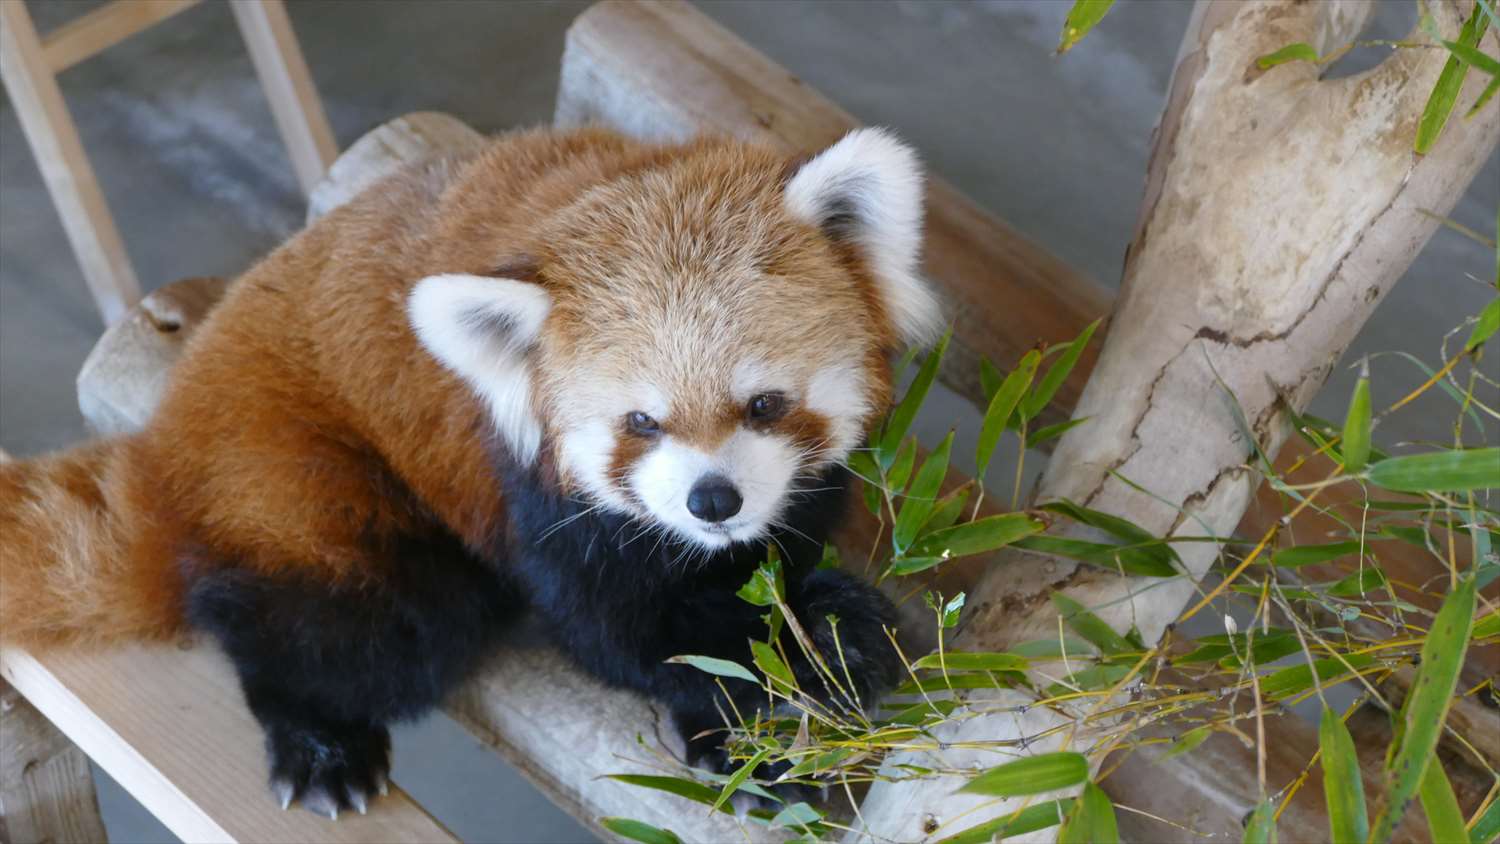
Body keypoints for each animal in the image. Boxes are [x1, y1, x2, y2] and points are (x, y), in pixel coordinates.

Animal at [0, 127, 936, 821]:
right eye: (641, 423)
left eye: (765, 405)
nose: (713, 501)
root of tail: (165, 441)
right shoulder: (535, 495)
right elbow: (620, 631)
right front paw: (798, 665)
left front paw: (809, 643)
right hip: (301, 480)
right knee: (349, 627)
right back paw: (318, 742)